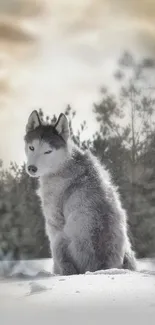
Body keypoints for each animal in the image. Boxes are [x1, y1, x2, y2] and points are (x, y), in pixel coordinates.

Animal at [24, 110, 137, 274]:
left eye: (48, 151)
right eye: (31, 147)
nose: (32, 168)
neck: (63, 163)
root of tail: (101, 267)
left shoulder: (53, 221)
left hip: (60, 240)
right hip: (128, 251)